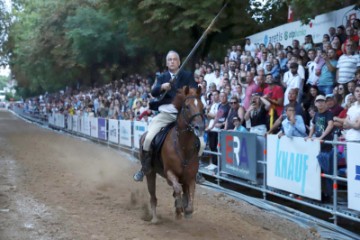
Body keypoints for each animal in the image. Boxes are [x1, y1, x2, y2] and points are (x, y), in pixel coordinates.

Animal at [139, 86, 204, 223]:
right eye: (187, 107)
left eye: (202, 107)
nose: (199, 127)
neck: (183, 145)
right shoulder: (169, 172)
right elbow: (177, 189)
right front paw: (179, 207)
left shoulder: (190, 177)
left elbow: (190, 196)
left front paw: (185, 210)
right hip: (150, 173)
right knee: (153, 196)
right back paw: (154, 219)